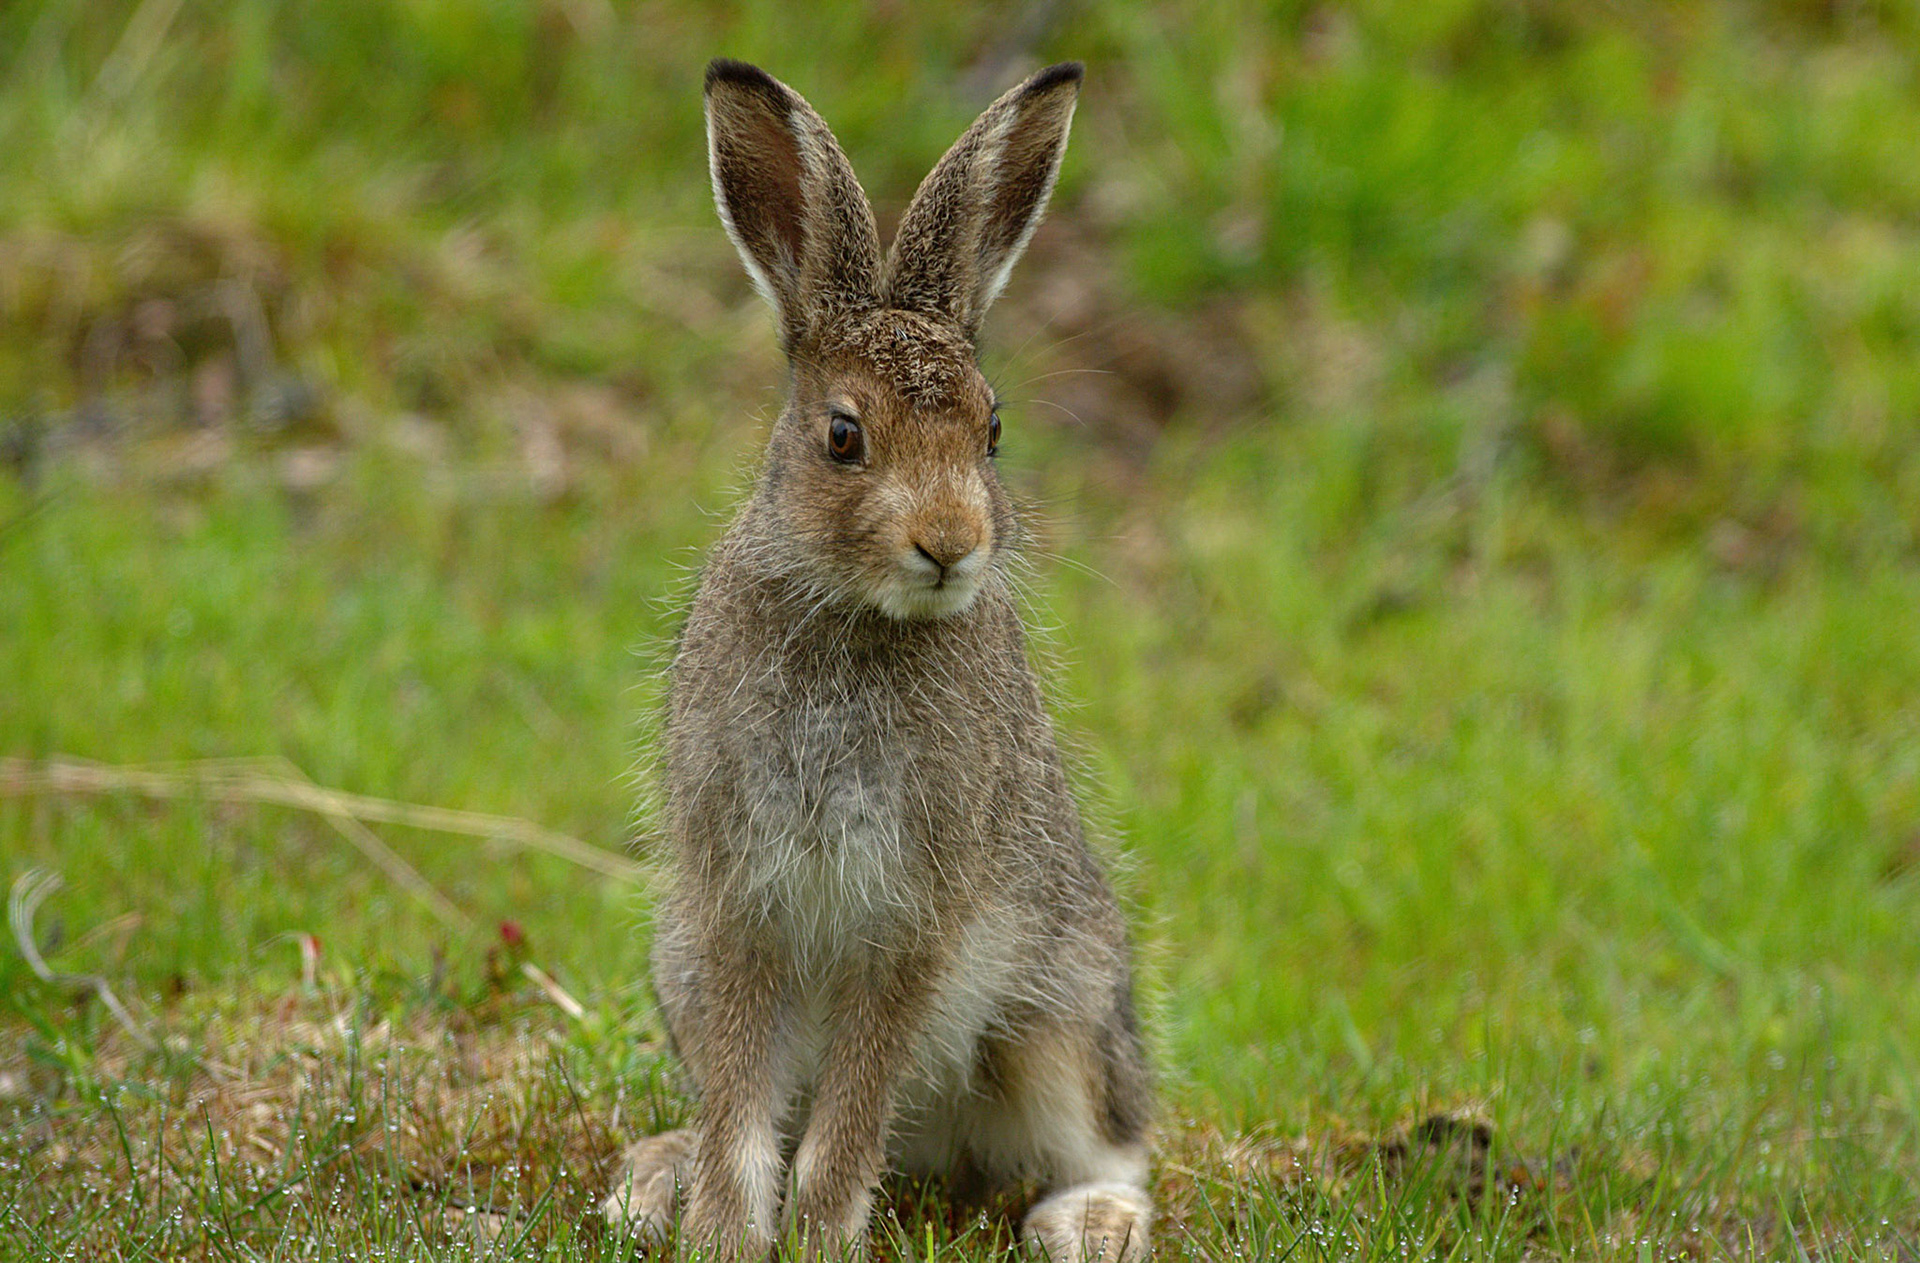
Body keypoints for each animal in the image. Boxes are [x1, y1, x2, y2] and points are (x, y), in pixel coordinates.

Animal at [601, 58, 1153, 1262]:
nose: (951, 542)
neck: (857, 619)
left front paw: (815, 1237)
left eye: (993, 432)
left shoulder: (913, 925)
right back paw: (653, 1177)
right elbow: (745, 1113)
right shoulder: (736, 903)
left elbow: (848, 1122)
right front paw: (722, 1231)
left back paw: (1091, 1221)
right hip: (674, 961)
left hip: (1062, 1000)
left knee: (1111, 1134)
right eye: (843, 436)